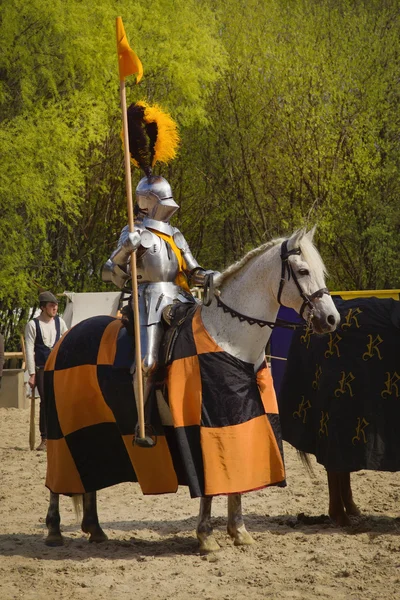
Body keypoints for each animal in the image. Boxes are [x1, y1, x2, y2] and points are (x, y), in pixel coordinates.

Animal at [45, 229, 340, 552]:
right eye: (303, 271)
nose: (331, 319)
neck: (229, 340)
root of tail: (64, 340)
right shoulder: (203, 425)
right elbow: (210, 484)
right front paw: (206, 536)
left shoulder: (240, 419)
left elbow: (236, 474)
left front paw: (239, 531)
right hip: (62, 428)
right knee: (57, 477)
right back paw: (54, 529)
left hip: (94, 429)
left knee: (90, 474)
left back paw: (95, 528)